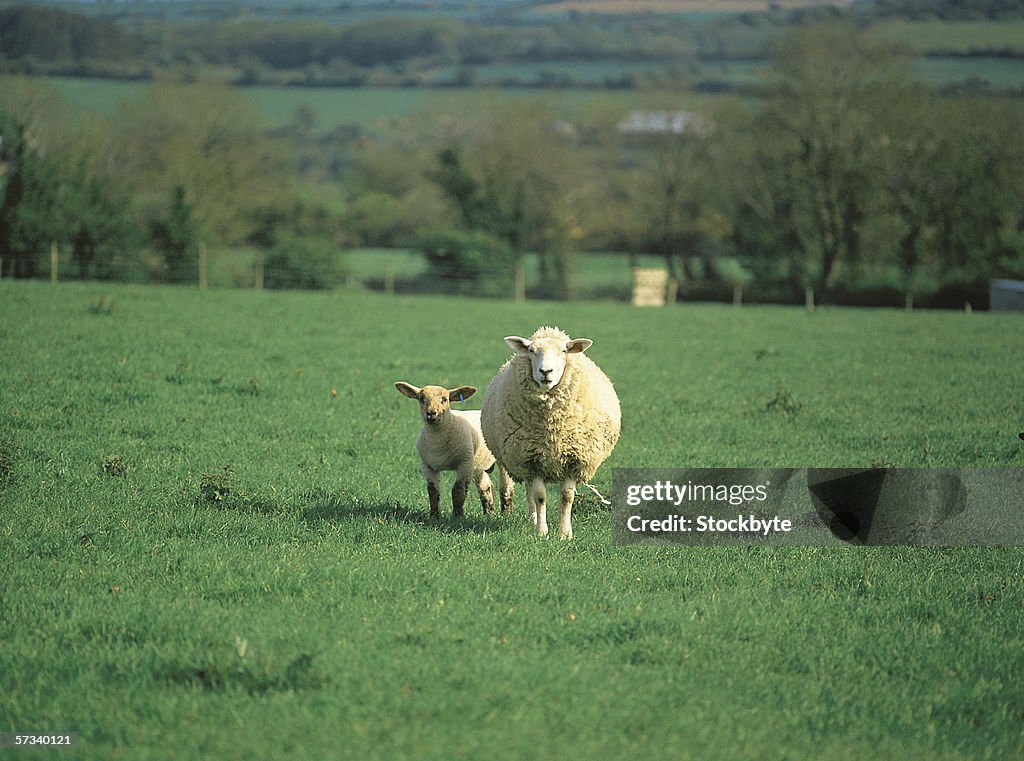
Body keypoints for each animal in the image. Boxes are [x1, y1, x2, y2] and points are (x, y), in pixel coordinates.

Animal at [391, 381, 512, 518]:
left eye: (445, 399)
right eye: (422, 399)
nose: (431, 413)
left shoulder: (464, 463)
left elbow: (458, 490)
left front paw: (457, 516)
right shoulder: (426, 465)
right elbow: (432, 490)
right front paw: (434, 516)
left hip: (503, 457)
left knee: (506, 487)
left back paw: (506, 513)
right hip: (478, 464)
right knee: (485, 487)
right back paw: (489, 513)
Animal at [481, 323, 618, 540]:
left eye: (564, 351)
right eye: (531, 350)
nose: (546, 371)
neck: (551, 426)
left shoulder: (574, 459)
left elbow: (566, 497)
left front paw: (564, 534)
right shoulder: (532, 459)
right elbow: (540, 497)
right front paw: (542, 531)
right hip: (522, 460)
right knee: (530, 492)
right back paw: (533, 519)